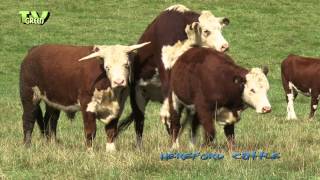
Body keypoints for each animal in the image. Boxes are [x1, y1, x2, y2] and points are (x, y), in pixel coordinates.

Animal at [20, 42, 150, 150]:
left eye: (126, 65)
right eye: (107, 67)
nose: (119, 81)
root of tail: (34, 49)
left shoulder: (117, 108)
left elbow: (111, 131)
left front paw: (111, 152)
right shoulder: (87, 105)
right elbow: (90, 131)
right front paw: (90, 152)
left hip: (53, 100)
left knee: (50, 120)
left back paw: (52, 144)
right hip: (29, 95)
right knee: (28, 119)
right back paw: (27, 146)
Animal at [120, 3, 230, 148]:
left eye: (220, 29)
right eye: (206, 31)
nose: (225, 46)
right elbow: (173, 116)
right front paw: (175, 146)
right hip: (138, 96)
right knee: (140, 122)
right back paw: (140, 147)